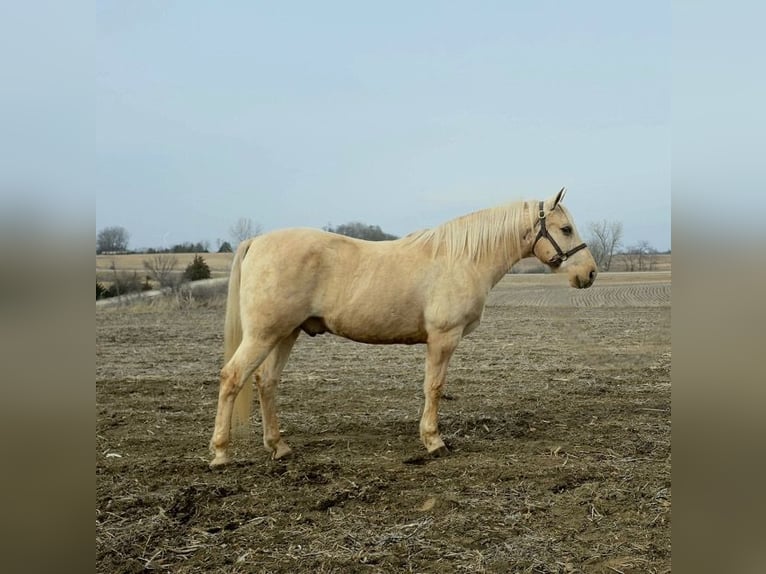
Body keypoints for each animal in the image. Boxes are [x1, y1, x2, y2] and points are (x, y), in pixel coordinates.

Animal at [210, 189, 600, 468]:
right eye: (566, 229)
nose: (590, 273)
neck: (463, 258)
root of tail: (257, 241)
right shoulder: (443, 338)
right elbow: (434, 387)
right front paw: (433, 441)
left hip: (285, 334)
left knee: (266, 382)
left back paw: (279, 447)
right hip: (264, 335)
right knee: (233, 377)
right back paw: (221, 453)